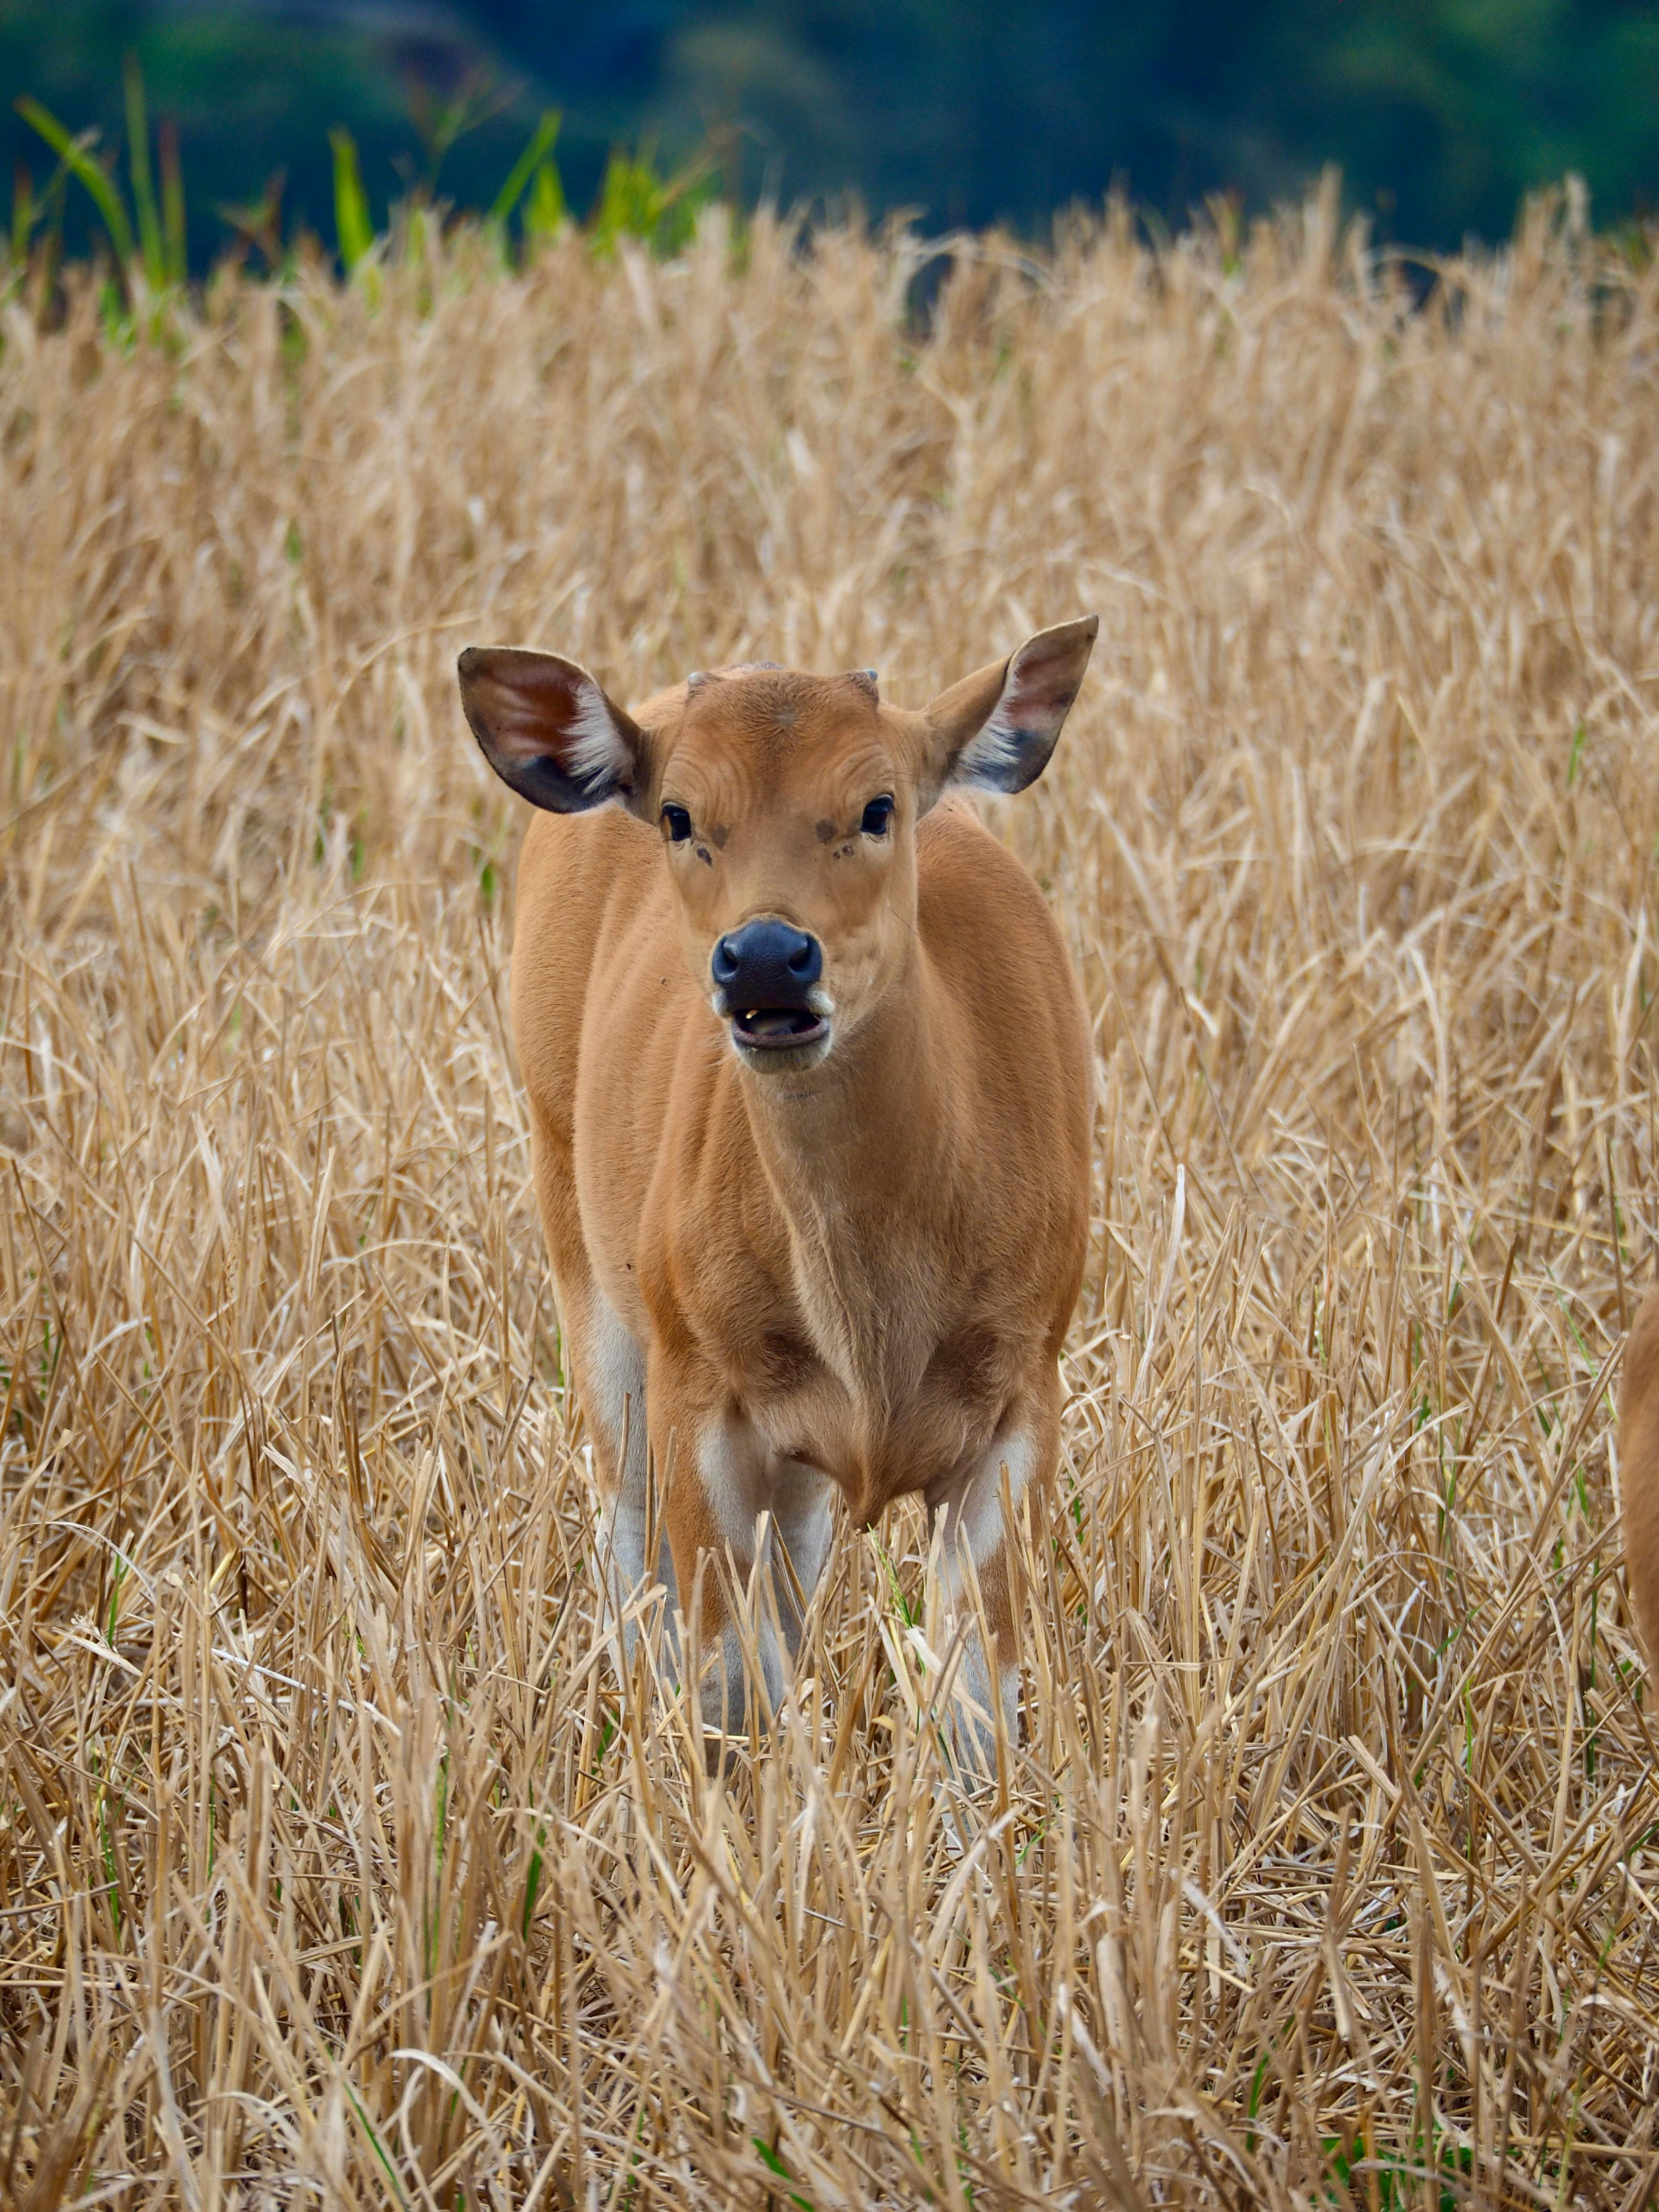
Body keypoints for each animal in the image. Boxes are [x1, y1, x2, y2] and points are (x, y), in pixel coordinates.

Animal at [462, 624, 1097, 1760]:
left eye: (879, 803)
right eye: (679, 813)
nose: (765, 957)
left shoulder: (1026, 1385)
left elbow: (977, 1708)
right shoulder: (698, 1382)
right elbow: (727, 1686)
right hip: (575, 1226)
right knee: (629, 1543)